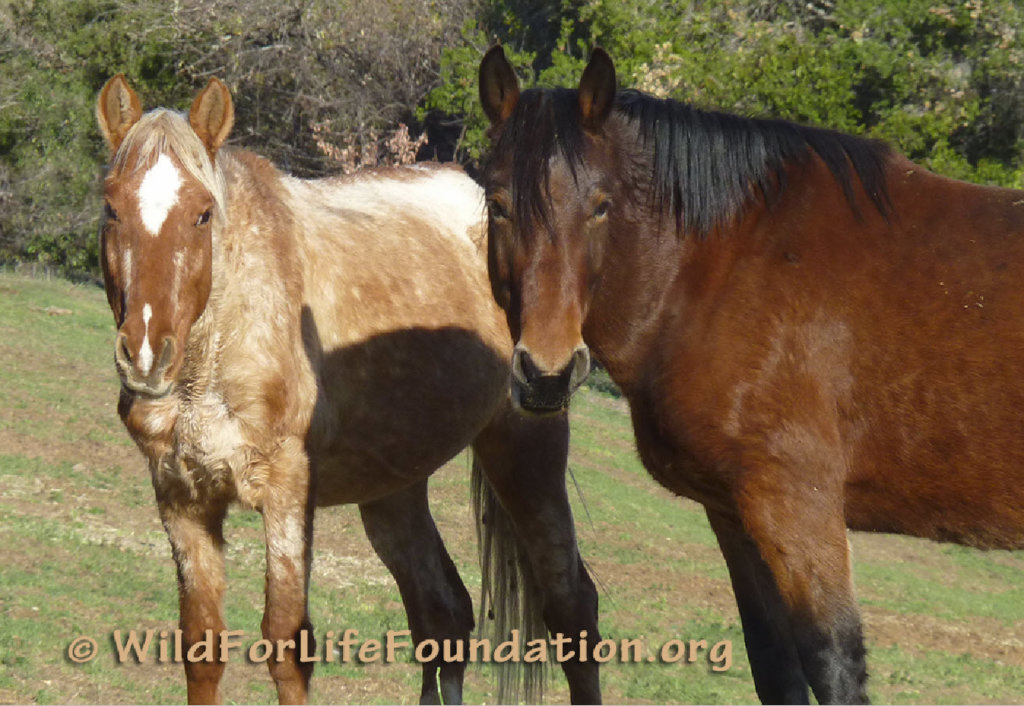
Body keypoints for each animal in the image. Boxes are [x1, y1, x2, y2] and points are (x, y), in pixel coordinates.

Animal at [95, 74, 602, 705]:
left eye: (203, 214)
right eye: (111, 207)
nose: (145, 354)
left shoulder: (286, 493)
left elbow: (287, 643)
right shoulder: (183, 501)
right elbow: (201, 644)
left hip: (526, 454)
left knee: (572, 609)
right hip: (394, 486)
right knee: (443, 615)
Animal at [477, 45, 1024, 704]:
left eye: (602, 206)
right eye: (498, 204)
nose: (547, 375)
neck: (723, 266)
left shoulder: (796, 505)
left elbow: (834, 663)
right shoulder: (736, 513)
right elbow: (774, 665)